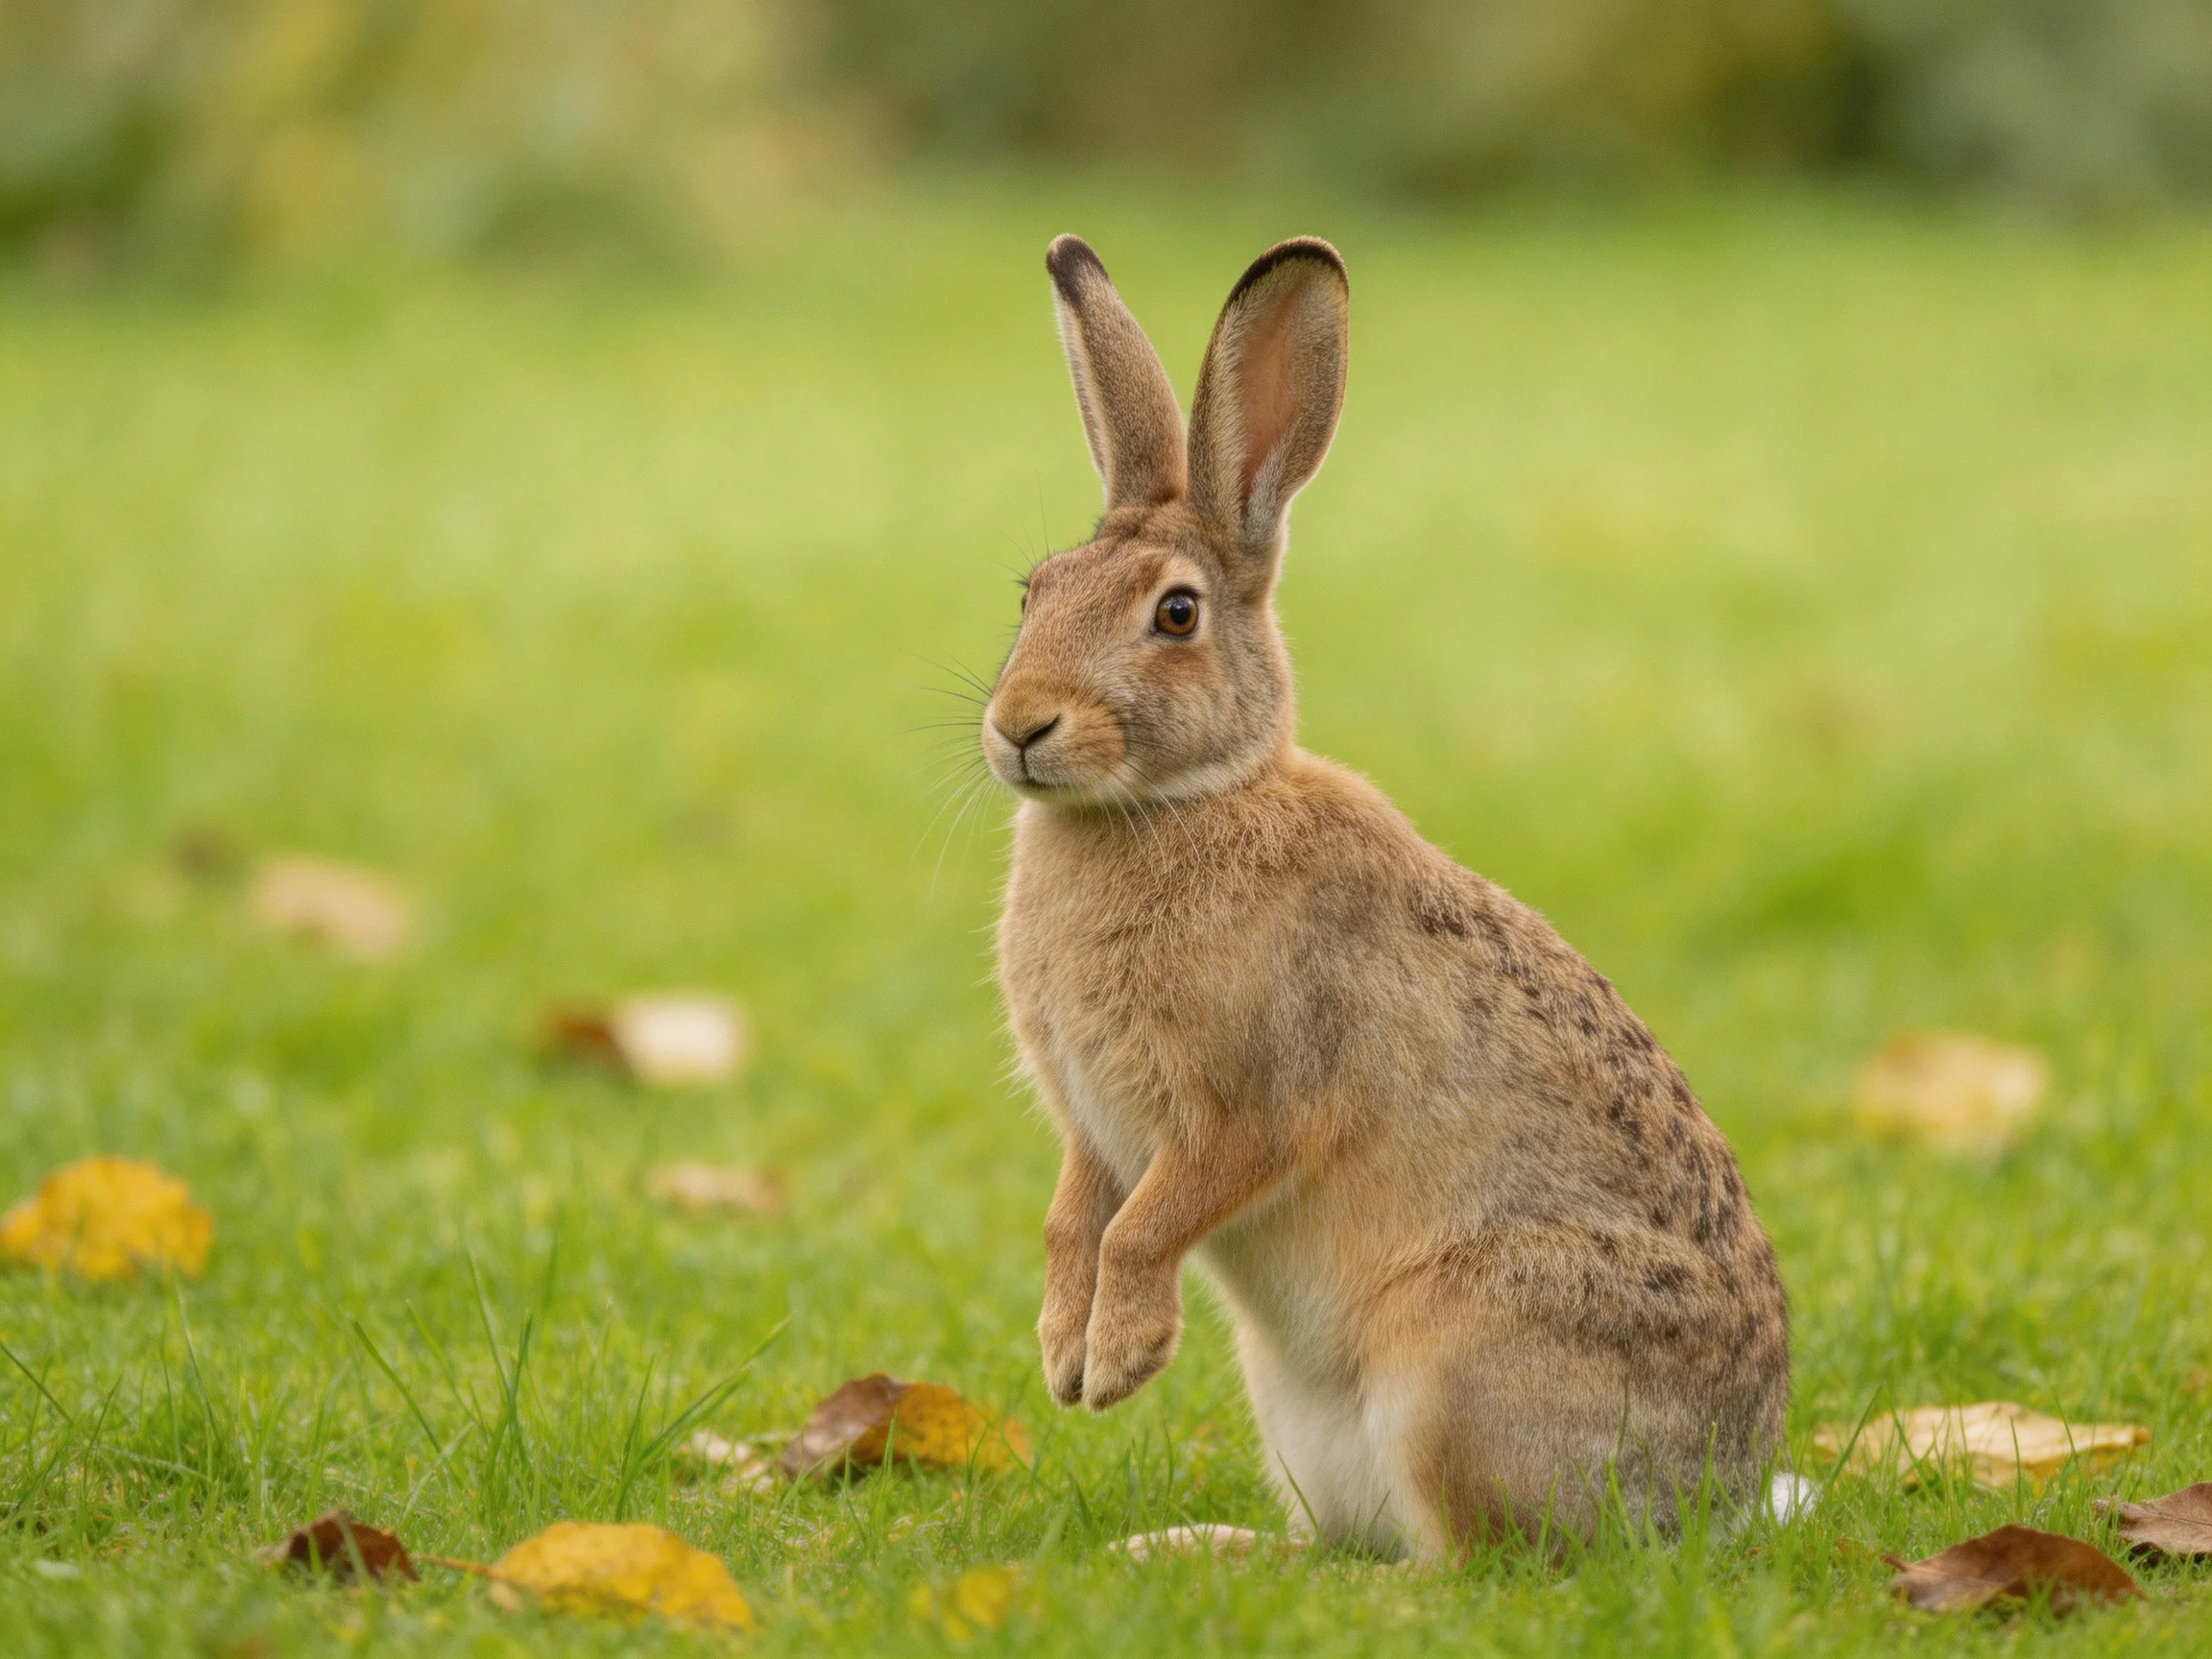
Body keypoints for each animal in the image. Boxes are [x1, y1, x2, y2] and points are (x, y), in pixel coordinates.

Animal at [982, 234, 1790, 1559]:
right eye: (1032, 592)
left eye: (1175, 613)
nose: (1019, 727)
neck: (1179, 805)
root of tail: (1703, 1500)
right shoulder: (1091, 1127)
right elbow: (1072, 1221)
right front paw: (1062, 1359)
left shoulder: (1250, 1102)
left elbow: (1148, 1221)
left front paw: (1120, 1363)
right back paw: (1195, 1552)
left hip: (1457, 1356)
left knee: (1466, 1564)